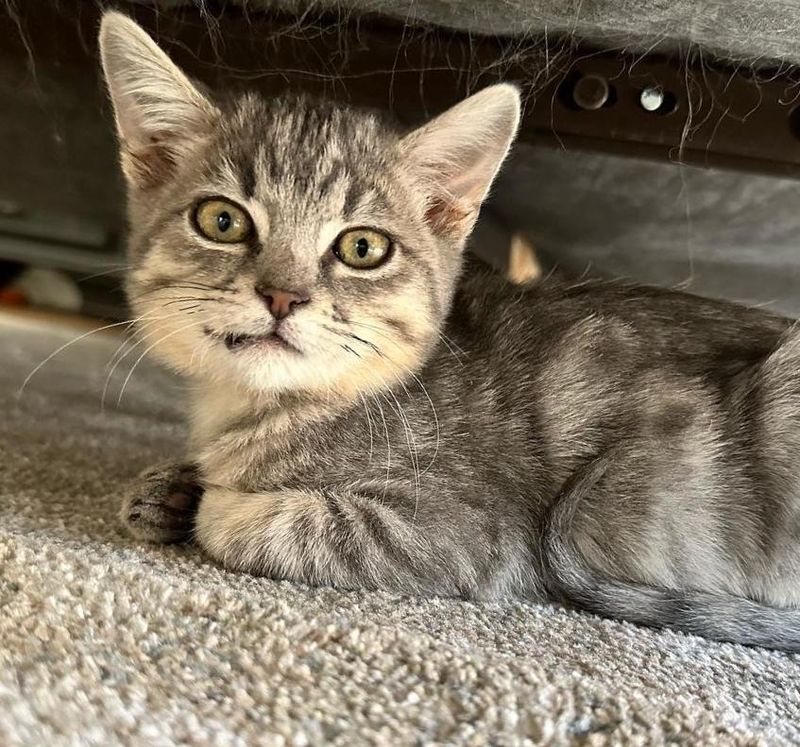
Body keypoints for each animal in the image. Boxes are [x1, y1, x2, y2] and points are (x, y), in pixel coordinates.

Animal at [103, 13, 800, 656]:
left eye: (362, 248)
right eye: (221, 220)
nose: (283, 294)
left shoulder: (466, 533)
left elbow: (262, 523)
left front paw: (207, 501)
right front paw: (166, 489)